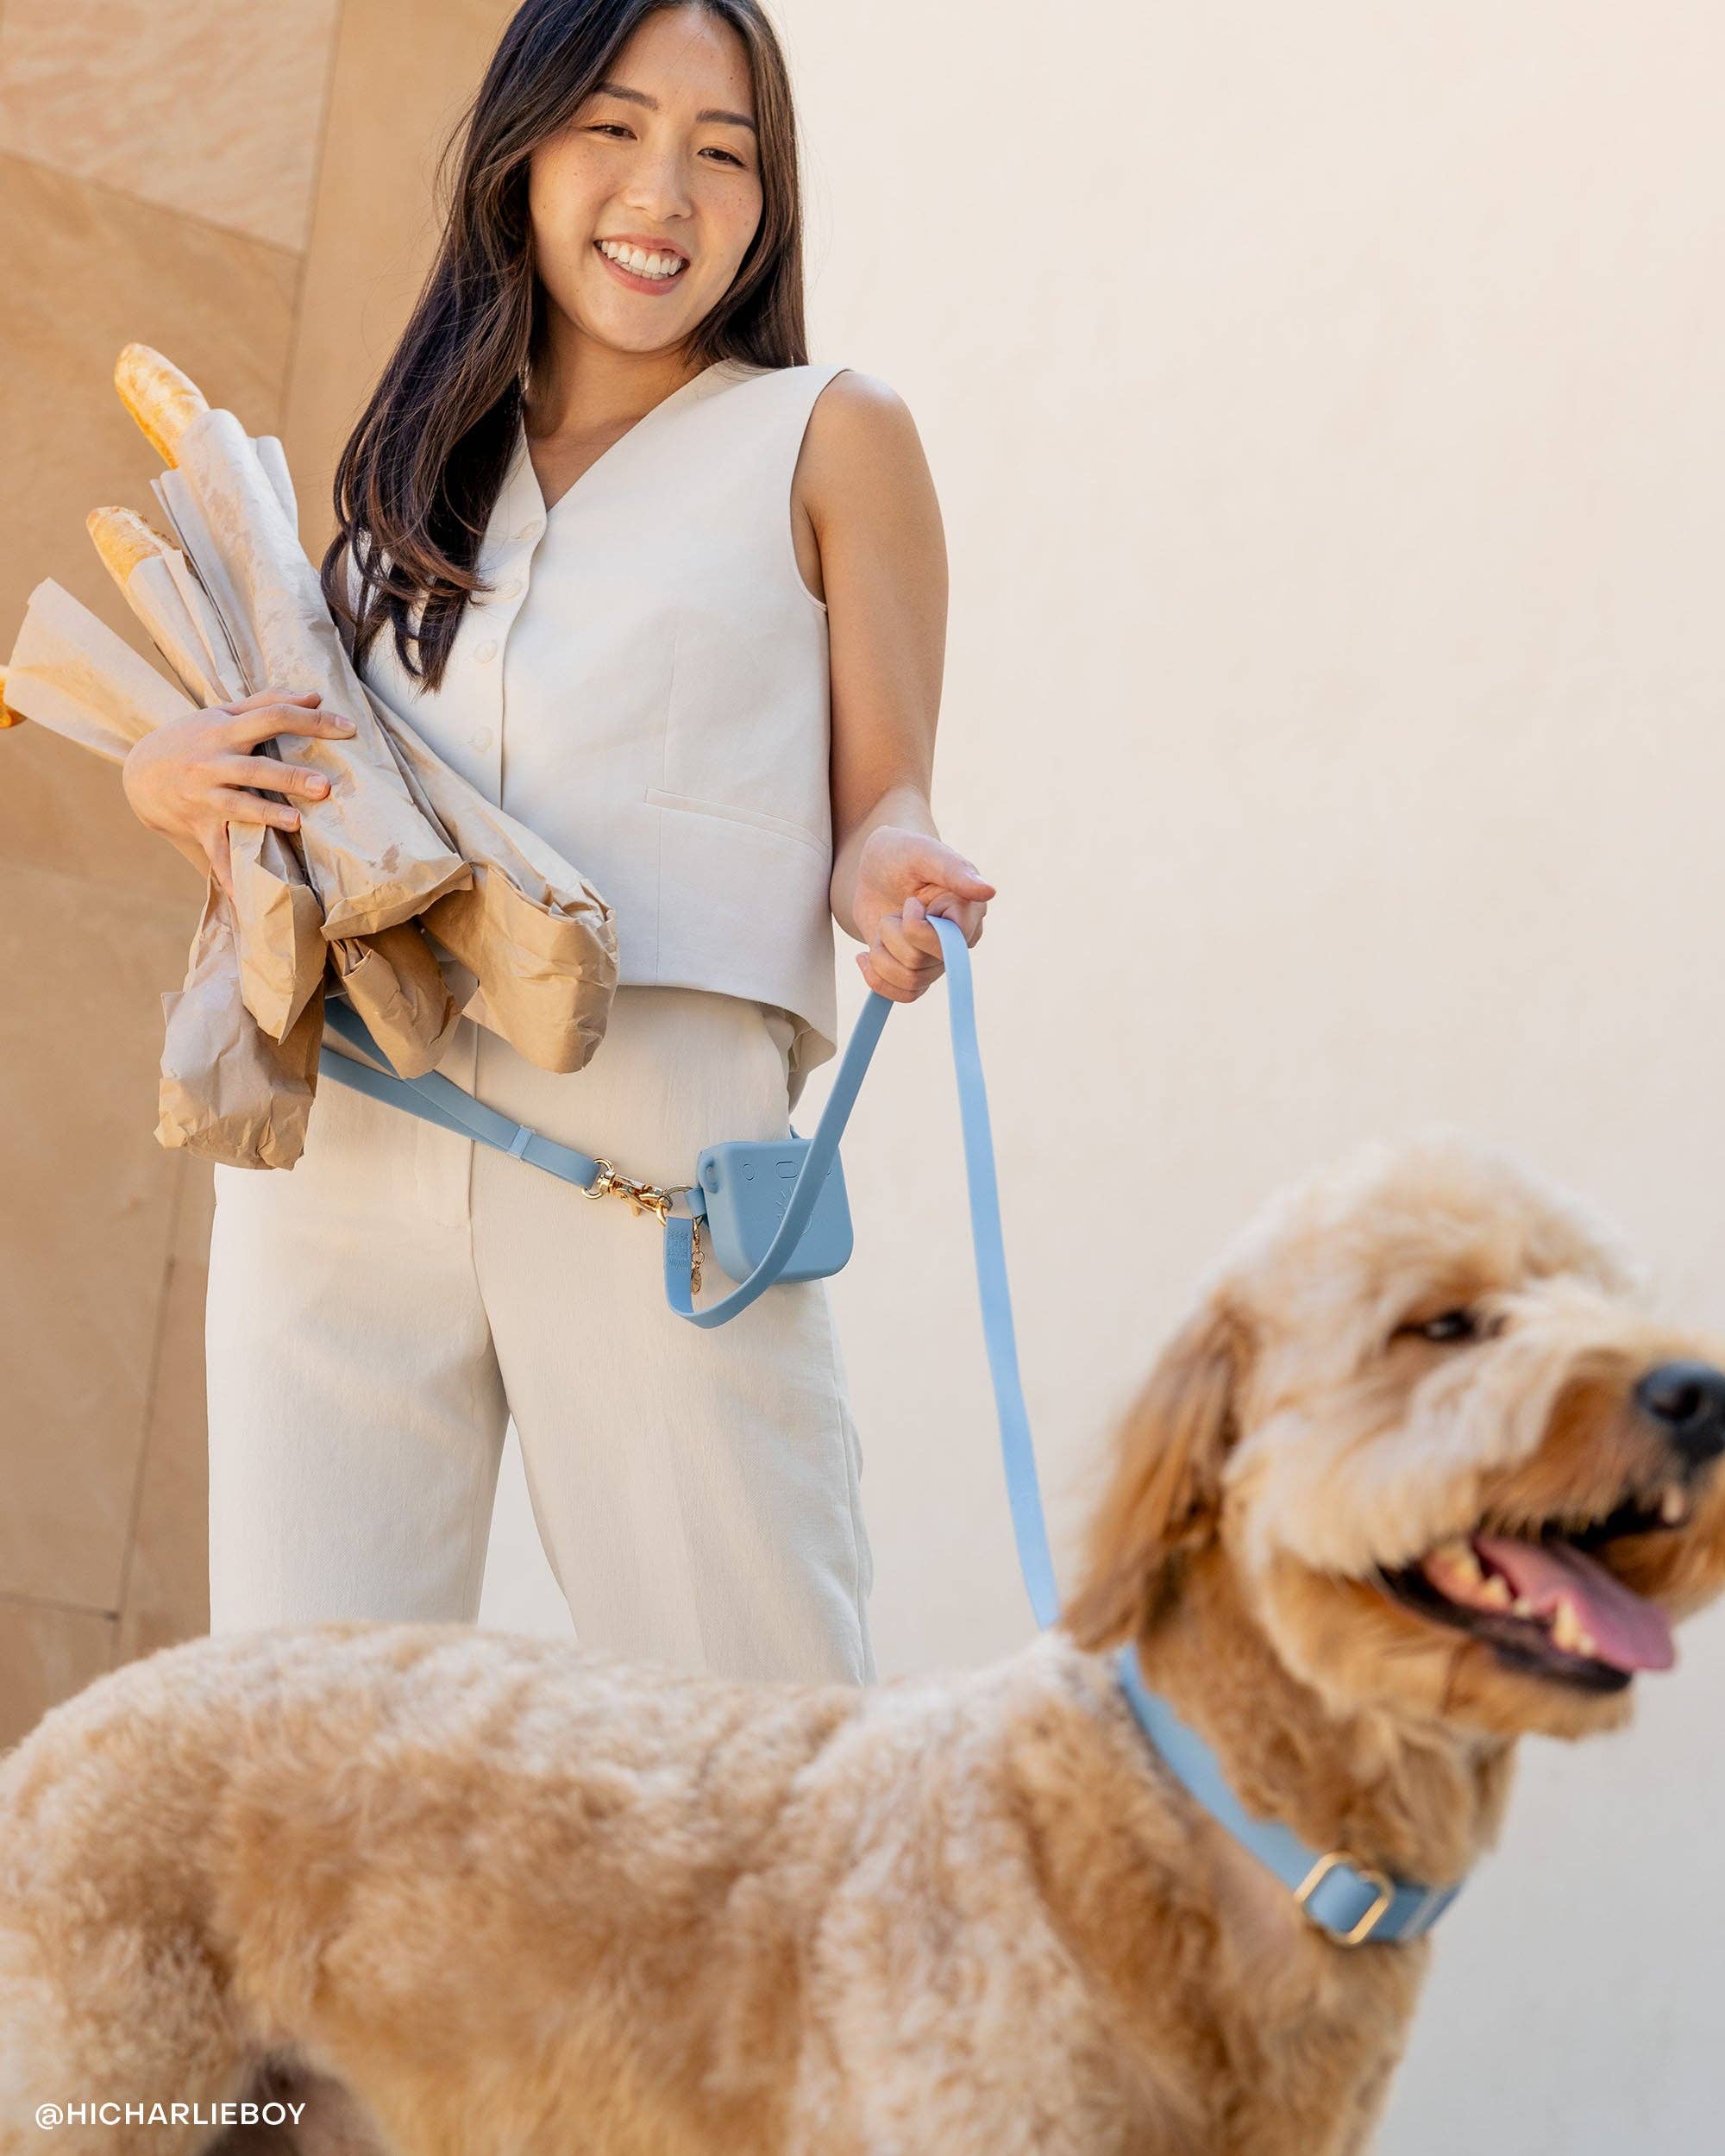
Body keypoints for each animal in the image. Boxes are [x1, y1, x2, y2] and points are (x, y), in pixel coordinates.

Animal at [3, 1130, 1725, 2156]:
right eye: (1446, 1326)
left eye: (1608, 1296)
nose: (1695, 1392)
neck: (1222, 1824)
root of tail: (64, 1725)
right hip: (104, 2090)